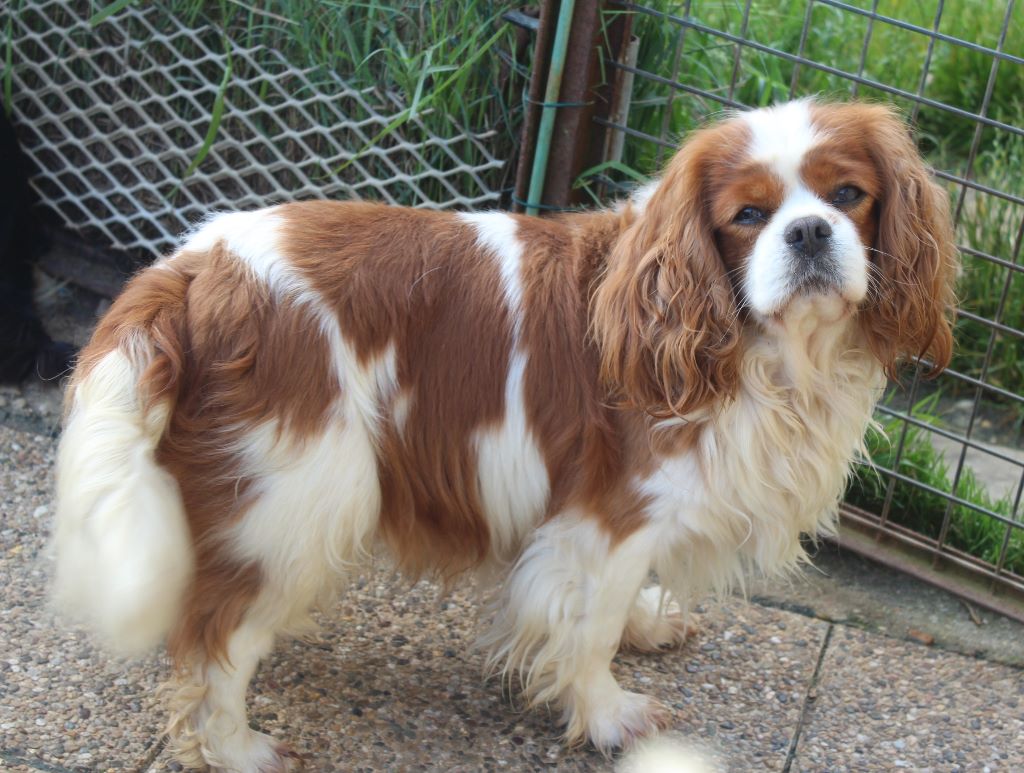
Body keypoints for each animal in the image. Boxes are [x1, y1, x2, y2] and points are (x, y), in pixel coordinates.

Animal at [51, 99, 957, 771]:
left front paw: (647, 623)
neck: (766, 352)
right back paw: (236, 746)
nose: (808, 232)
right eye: (748, 215)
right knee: (211, 638)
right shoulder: (610, 514)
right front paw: (608, 712)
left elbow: (616, 605)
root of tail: (190, 269)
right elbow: (588, 625)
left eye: (849, 197)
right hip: (301, 497)